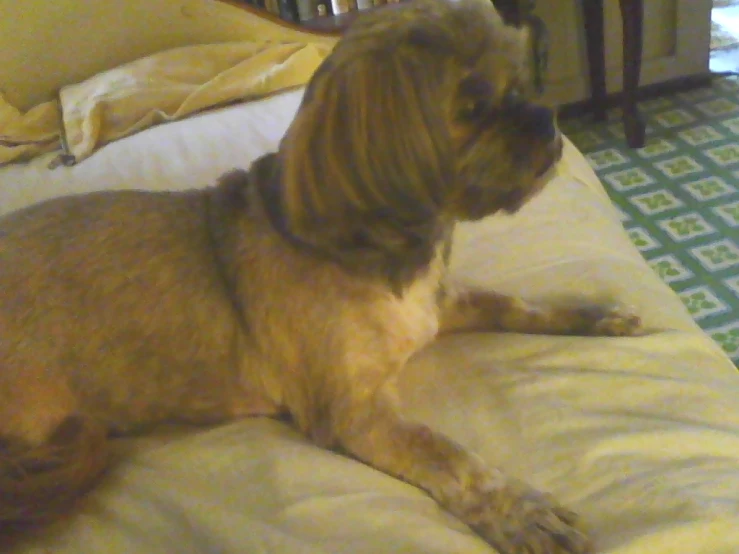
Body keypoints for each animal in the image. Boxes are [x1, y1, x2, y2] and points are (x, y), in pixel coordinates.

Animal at [0, 2, 640, 548]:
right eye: (473, 106)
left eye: (520, 83)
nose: (549, 121)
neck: (364, 248)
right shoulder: (353, 412)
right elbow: (445, 453)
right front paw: (518, 509)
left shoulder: (438, 305)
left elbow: (512, 302)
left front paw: (591, 313)